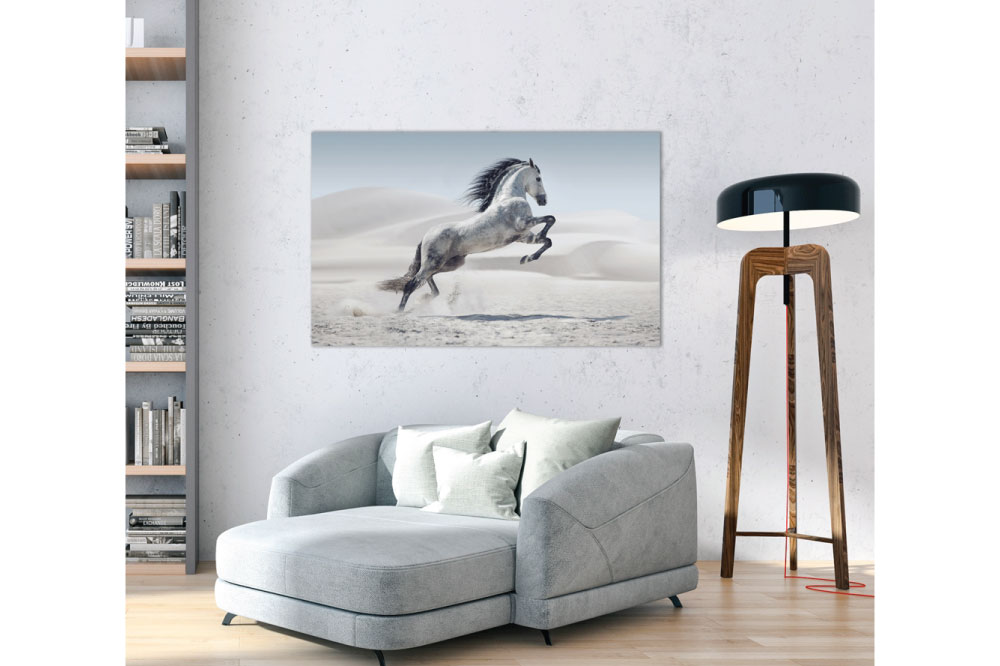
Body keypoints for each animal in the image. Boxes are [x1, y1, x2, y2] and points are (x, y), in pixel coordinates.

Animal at [378, 157, 556, 312]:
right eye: (538, 178)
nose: (543, 201)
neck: (508, 198)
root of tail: (425, 236)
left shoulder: (523, 236)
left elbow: (547, 241)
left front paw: (526, 258)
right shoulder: (523, 223)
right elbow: (550, 219)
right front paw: (531, 251)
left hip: (448, 264)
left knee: (427, 282)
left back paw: (422, 301)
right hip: (434, 263)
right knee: (411, 284)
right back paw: (400, 311)